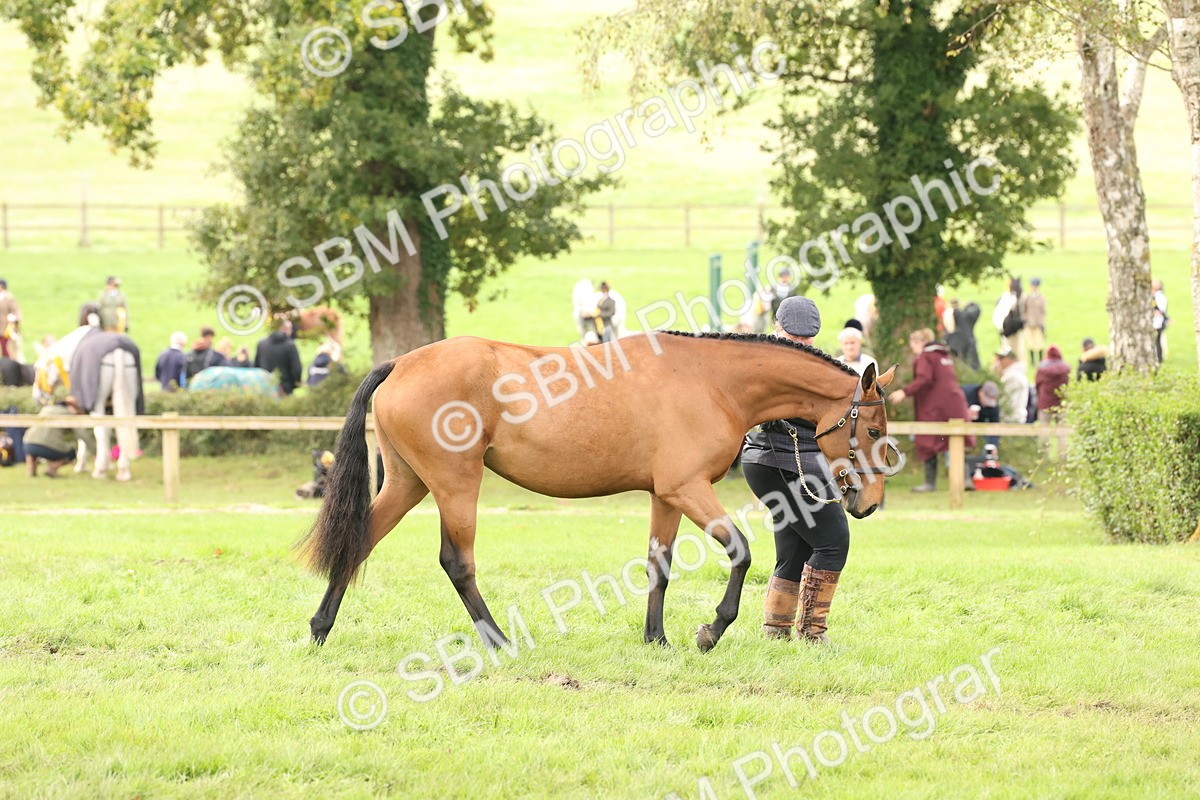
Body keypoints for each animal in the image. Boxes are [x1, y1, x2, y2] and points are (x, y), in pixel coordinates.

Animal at [33, 325, 144, 481]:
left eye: (36, 368)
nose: (37, 396)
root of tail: (118, 349)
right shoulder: (108, 407)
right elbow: (109, 431)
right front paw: (108, 463)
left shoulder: (81, 404)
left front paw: (83, 465)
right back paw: (123, 470)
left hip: (97, 403)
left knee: (100, 430)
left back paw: (100, 471)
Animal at [298, 331, 898, 653]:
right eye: (872, 431)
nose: (868, 503)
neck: (712, 381)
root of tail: (403, 361)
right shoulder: (689, 488)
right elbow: (741, 552)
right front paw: (710, 631)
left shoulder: (666, 495)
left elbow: (659, 565)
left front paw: (656, 638)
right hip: (454, 483)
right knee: (456, 561)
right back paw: (497, 639)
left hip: (408, 482)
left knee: (359, 541)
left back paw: (320, 628)